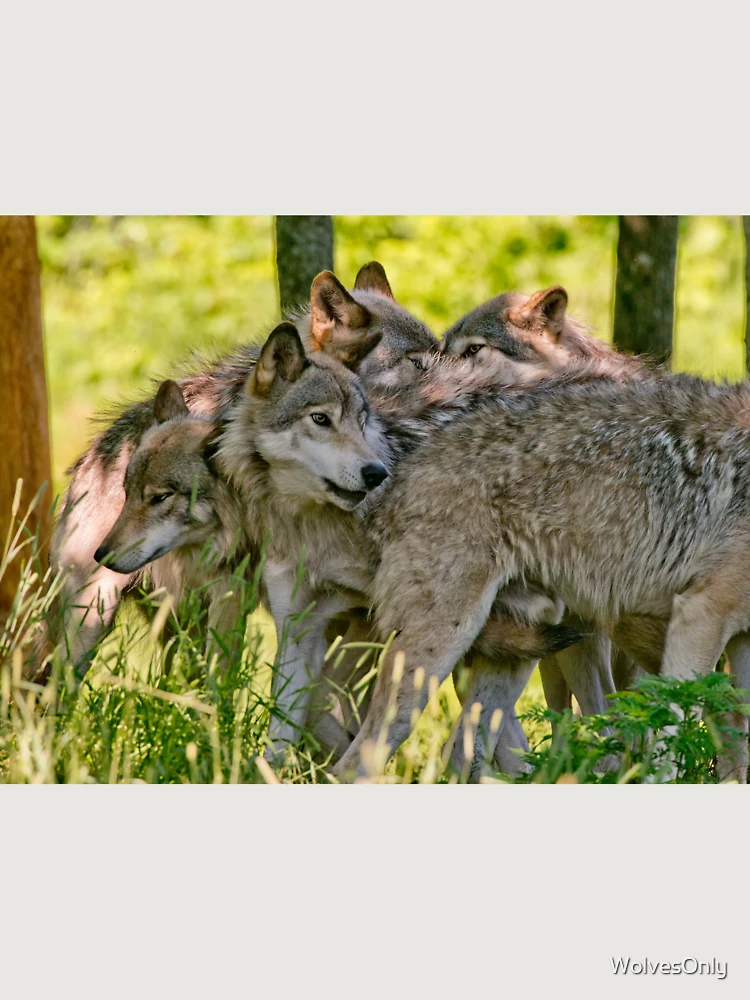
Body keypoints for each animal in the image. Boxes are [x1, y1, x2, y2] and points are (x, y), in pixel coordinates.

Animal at [332, 367, 750, 778]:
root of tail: (394, 477)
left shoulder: (738, 638)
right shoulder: (701, 615)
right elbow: (669, 742)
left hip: (524, 647)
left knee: (465, 752)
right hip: (440, 652)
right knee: (354, 763)